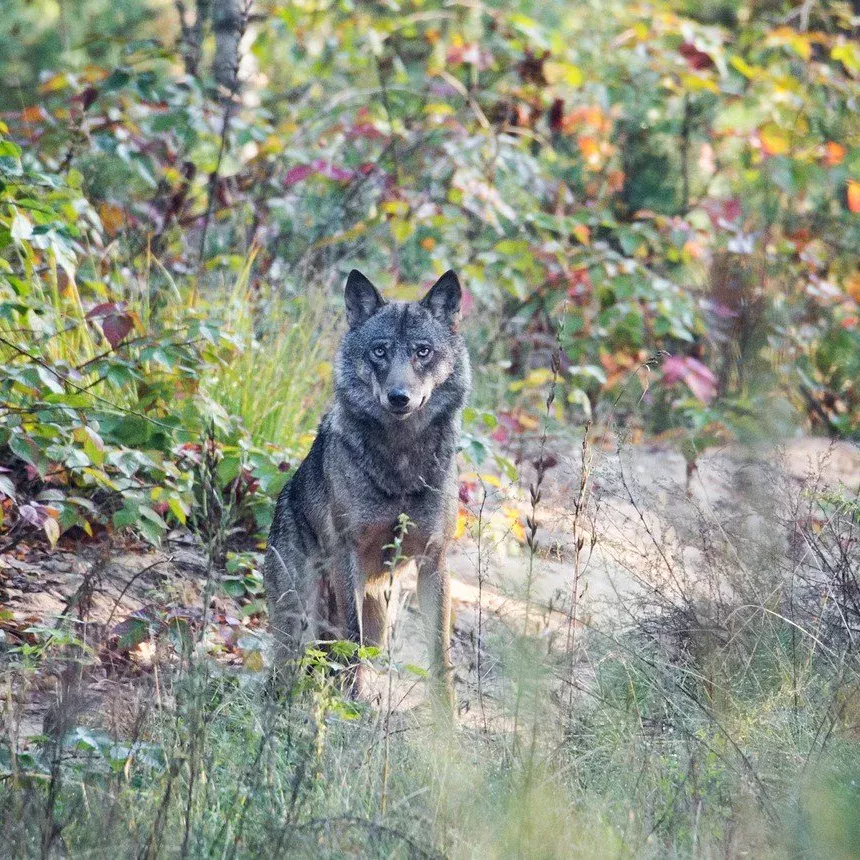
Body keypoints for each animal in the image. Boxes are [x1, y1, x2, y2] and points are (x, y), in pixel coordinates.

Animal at [264, 269, 470, 708]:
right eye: (379, 351)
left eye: (423, 352)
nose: (399, 396)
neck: (401, 460)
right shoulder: (349, 554)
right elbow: (351, 640)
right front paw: (351, 702)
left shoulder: (434, 562)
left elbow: (439, 655)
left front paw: (446, 719)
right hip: (301, 616)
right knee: (293, 666)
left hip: (381, 621)